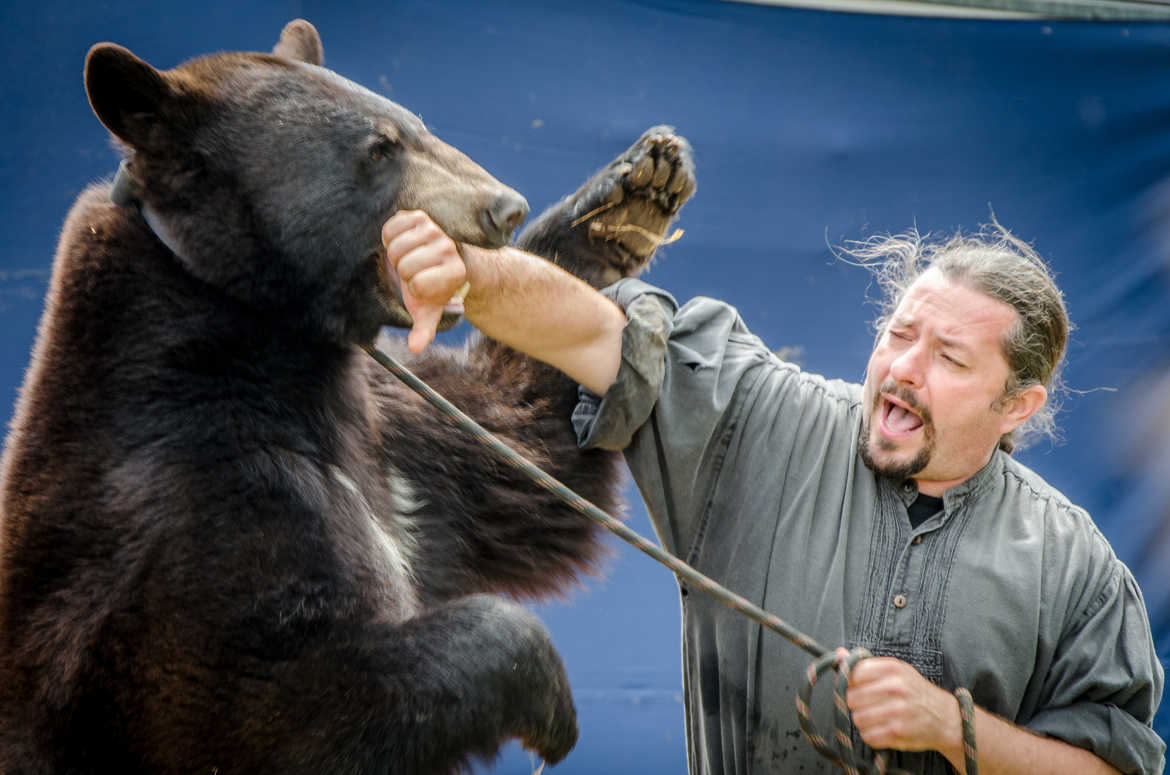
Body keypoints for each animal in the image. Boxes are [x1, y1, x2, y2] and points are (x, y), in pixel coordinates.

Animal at [0, 16, 692, 775]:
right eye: (379, 147)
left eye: (416, 123)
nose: (504, 207)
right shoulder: (182, 514)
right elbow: (259, 707)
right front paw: (543, 690)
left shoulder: (389, 436)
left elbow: (514, 454)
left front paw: (629, 193)